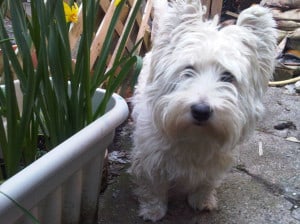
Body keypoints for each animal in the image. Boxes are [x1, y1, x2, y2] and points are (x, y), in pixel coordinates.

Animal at [129, 0, 276, 220]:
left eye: (228, 76)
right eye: (188, 69)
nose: (201, 110)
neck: (195, 136)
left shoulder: (216, 162)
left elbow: (206, 183)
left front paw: (202, 200)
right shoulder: (150, 157)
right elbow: (154, 186)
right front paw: (153, 210)